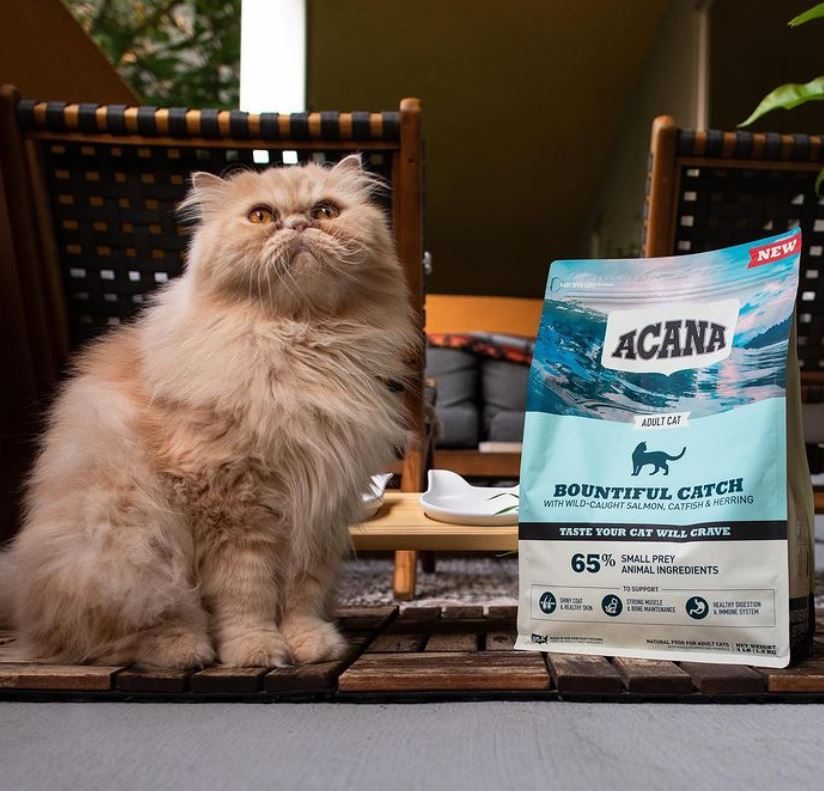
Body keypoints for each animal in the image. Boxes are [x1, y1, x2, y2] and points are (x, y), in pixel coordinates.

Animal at [0, 155, 418, 668]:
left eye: (325, 211)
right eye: (260, 216)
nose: (297, 224)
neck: (300, 350)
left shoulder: (320, 505)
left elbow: (301, 596)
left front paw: (310, 645)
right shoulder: (232, 507)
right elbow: (246, 598)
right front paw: (256, 651)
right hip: (127, 545)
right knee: (119, 634)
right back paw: (185, 649)